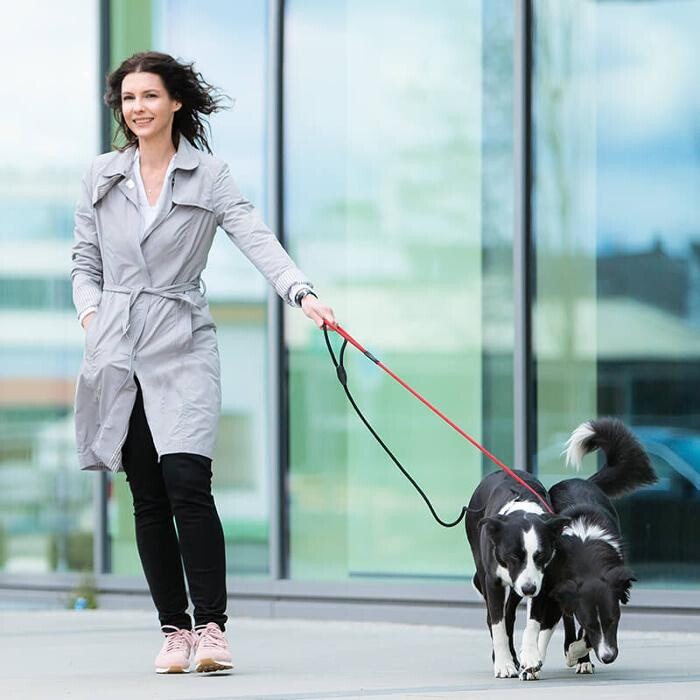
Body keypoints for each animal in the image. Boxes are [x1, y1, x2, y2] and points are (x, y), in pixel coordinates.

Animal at [464, 468, 568, 680]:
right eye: (513, 556)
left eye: (540, 555)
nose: (528, 589)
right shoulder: (493, 581)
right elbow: (497, 623)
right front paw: (504, 664)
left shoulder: (542, 580)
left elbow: (533, 622)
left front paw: (530, 657)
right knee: (495, 617)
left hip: (517, 586)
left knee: (509, 613)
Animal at [536, 416, 656, 672]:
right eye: (591, 623)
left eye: (613, 620)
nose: (608, 657)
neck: (586, 559)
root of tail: (581, 480)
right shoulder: (561, 587)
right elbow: (572, 620)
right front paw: (573, 652)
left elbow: (584, 636)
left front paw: (580, 654)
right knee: (567, 616)